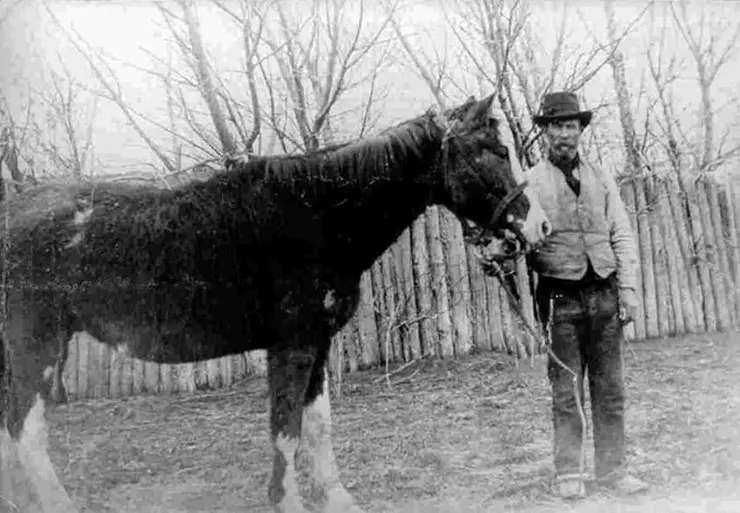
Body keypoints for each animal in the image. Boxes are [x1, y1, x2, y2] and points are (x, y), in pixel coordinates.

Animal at [0, 94, 551, 513]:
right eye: (496, 151)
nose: (539, 226)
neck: (318, 216)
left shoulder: (320, 346)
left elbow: (318, 424)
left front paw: (338, 500)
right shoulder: (293, 347)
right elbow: (285, 431)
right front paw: (287, 502)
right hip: (35, 346)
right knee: (26, 431)